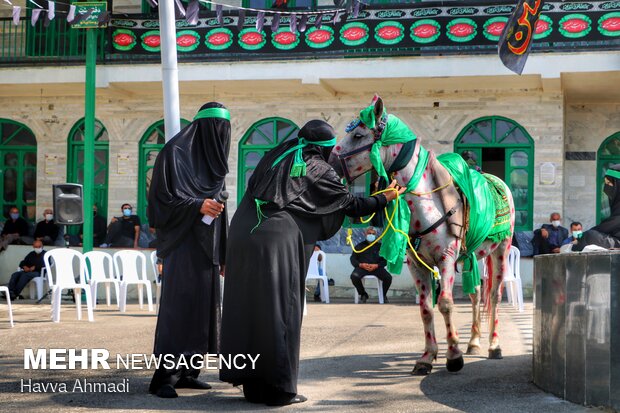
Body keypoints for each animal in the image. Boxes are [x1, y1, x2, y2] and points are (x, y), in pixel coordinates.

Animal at [326, 96, 516, 374]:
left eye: (358, 135)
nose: (329, 162)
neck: (428, 203)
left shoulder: (446, 258)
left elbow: (445, 303)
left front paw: (453, 356)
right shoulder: (417, 264)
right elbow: (426, 308)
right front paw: (428, 357)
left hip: (501, 250)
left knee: (494, 295)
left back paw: (494, 346)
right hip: (473, 256)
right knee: (476, 294)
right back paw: (473, 342)